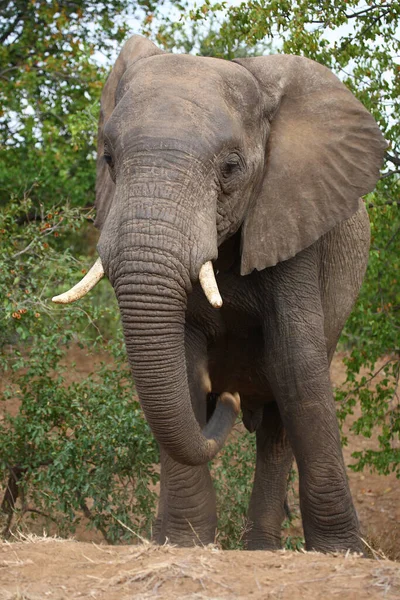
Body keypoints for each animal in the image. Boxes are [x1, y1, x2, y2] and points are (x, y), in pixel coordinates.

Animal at [54, 31, 388, 548]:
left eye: (231, 167)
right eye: (108, 158)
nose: (227, 397)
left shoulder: (294, 218)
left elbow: (296, 363)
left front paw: (343, 553)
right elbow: (184, 365)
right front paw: (183, 542)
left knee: (277, 426)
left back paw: (263, 549)